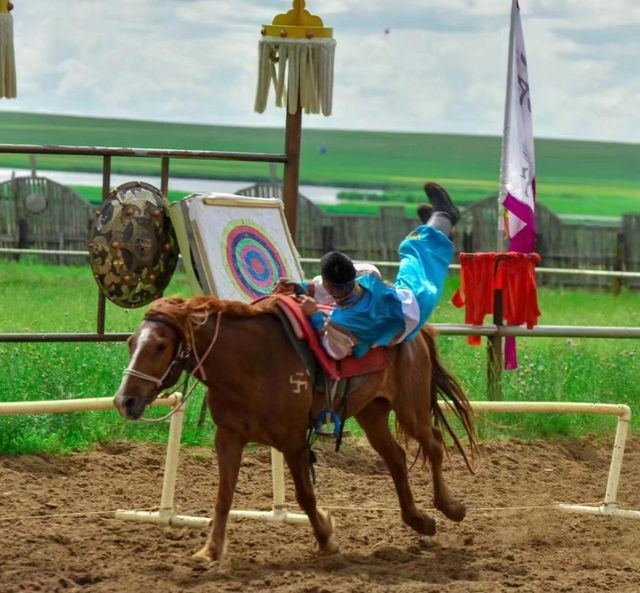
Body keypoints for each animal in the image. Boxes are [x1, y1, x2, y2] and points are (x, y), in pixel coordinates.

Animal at [114, 294, 476, 560]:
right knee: (396, 458)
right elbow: (223, 496)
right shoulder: (228, 438)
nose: (124, 400)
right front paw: (210, 550)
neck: (250, 363)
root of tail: (417, 332)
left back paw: (451, 508)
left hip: (411, 409)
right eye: (131, 343)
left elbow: (305, 495)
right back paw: (419, 520)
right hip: (371, 414)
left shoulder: (292, 441)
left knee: (433, 444)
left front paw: (326, 539)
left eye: (160, 345)